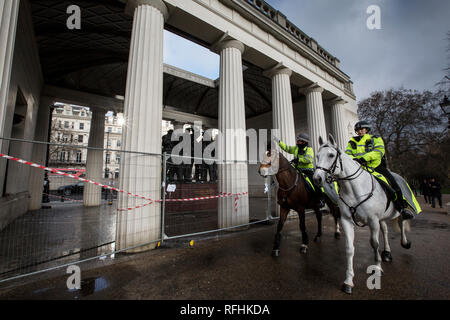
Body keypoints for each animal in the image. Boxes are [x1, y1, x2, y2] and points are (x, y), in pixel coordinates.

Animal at [312, 134, 412, 294]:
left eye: (331, 155)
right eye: (317, 156)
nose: (317, 178)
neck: (354, 189)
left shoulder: (372, 220)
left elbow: (374, 244)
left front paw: (377, 268)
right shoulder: (347, 220)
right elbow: (349, 248)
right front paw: (348, 281)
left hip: (397, 210)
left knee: (402, 221)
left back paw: (404, 242)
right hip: (382, 217)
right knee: (385, 230)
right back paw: (387, 253)